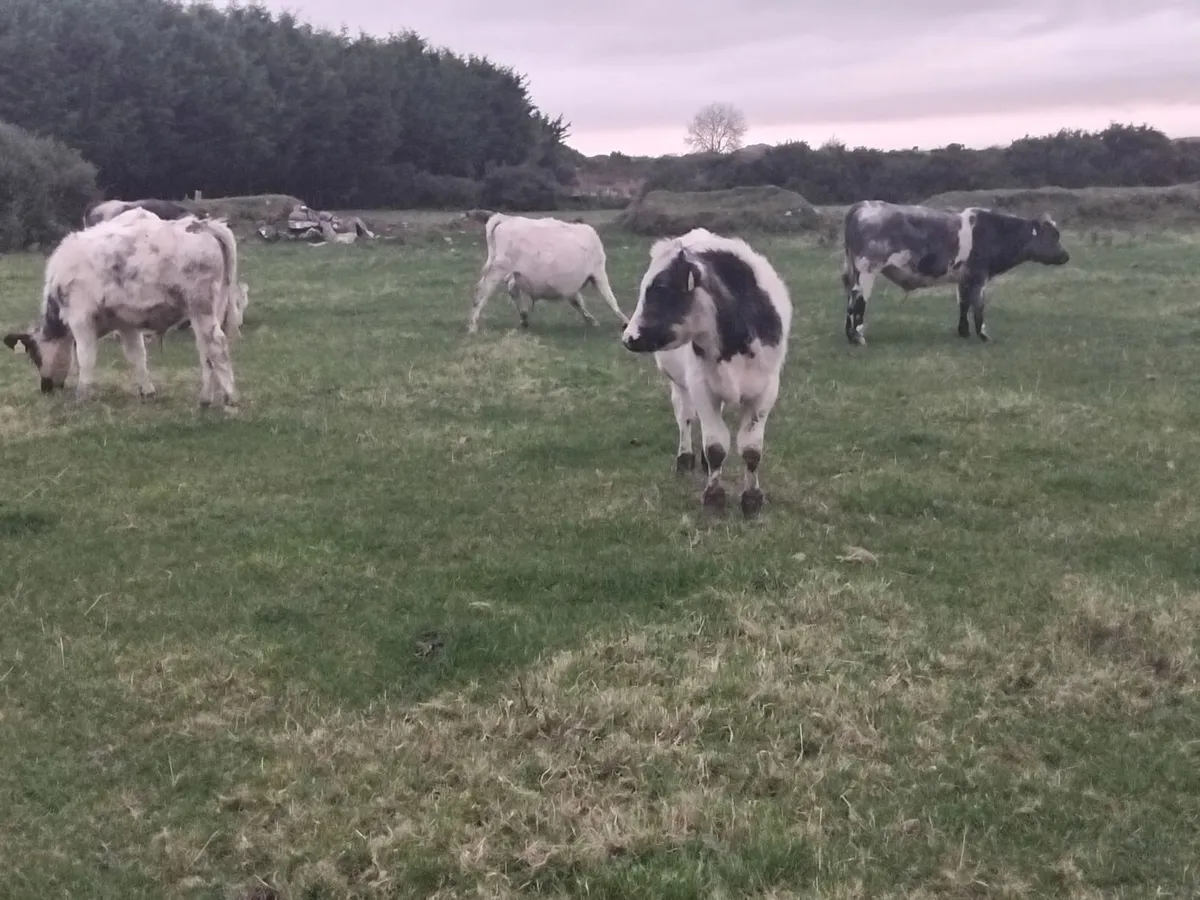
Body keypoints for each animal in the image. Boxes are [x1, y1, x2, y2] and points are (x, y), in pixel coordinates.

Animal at [4, 209, 242, 409]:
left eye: (35, 356)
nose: (46, 388)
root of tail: (203, 223)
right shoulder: (126, 323)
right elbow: (137, 355)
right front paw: (147, 391)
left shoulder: (81, 320)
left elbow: (85, 357)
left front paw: (82, 395)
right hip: (208, 311)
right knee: (206, 351)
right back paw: (205, 398)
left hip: (202, 308)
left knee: (217, 345)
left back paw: (230, 398)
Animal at [466, 213, 628, 334]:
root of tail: (506, 219)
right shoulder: (598, 272)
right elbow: (610, 299)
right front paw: (625, 322)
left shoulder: (570, 287)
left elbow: (578, 302)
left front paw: (592, 321)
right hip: (498, 268)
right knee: (482, 291)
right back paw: (473, 326)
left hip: (512, 272)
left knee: (512, 289)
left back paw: (524, 318)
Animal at [620, 228, 793, 519]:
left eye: (661, 288)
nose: (629, 337)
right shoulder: (701, 386)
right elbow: (716, 446)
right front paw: (714, 497)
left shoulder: (765, 391)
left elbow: (751, 450)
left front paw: (752, 499)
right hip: (680, 385)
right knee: (686, 418)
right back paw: (686, 458)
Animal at [841, 199, 1071, 345]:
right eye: (1053, 236)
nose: (1066, 256)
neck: (995, 231)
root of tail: (863, 205)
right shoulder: (979, 275)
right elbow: (978, 306)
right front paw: (984, 336)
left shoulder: (964, 278)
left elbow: (964, 304)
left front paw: (964, 332)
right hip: (866, 271)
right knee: (859, 302)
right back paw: (859, 338)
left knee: (850, 301)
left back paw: (850, 337)